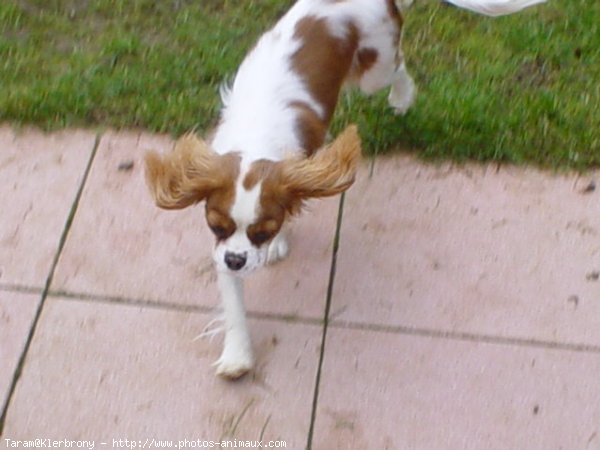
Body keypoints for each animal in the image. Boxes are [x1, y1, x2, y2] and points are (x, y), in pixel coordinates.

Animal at [144, 0, 544, 380]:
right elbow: (233, 304)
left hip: (376, 67)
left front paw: (279, 242)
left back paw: (402, 99)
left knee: (399, 67)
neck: (256, 136)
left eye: (263, 231)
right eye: (216, 226)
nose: (237, 261)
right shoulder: (223, 248)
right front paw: (237, 356)